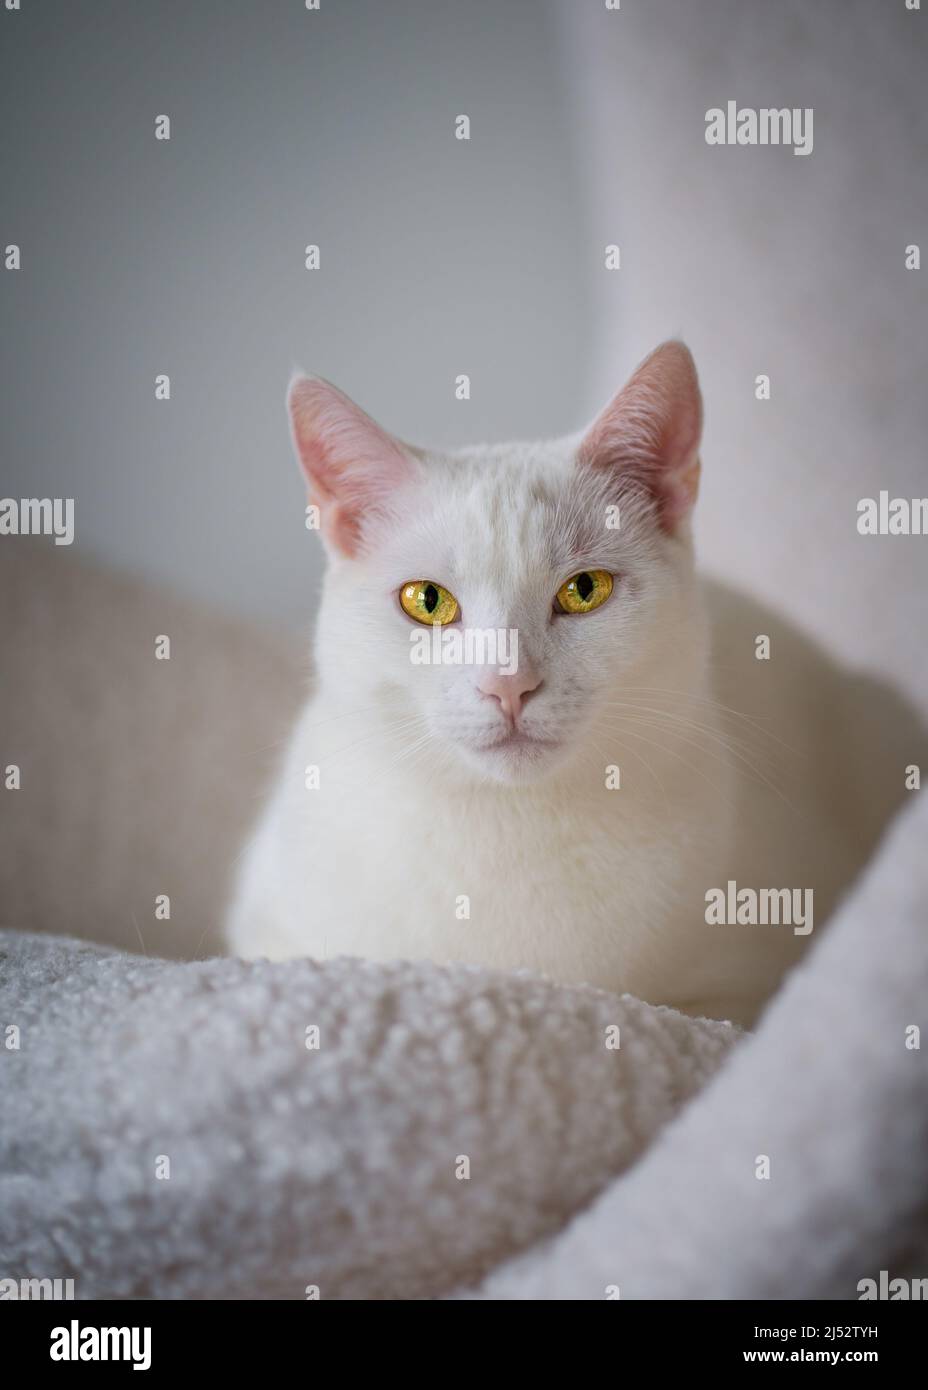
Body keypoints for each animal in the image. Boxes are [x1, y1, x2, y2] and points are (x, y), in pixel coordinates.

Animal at [226, 341, 905, 1028]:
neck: (511, 829)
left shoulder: (752, 977)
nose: (508, 685)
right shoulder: (268, 930)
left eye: (584, 590)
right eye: (427, 600)